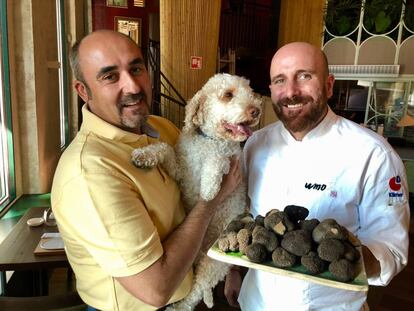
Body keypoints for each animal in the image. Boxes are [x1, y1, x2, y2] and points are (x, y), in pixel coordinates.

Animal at [131, 72, 260, 310]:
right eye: (228, 94)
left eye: (249, 90)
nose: (255, 110)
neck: (207, 139)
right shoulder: (180, 171)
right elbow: (165, 148)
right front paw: (143, 155)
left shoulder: (229, 159)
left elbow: (218, 158)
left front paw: (209, 189)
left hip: (212, 263)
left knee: (198, 290)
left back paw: (179, 306)